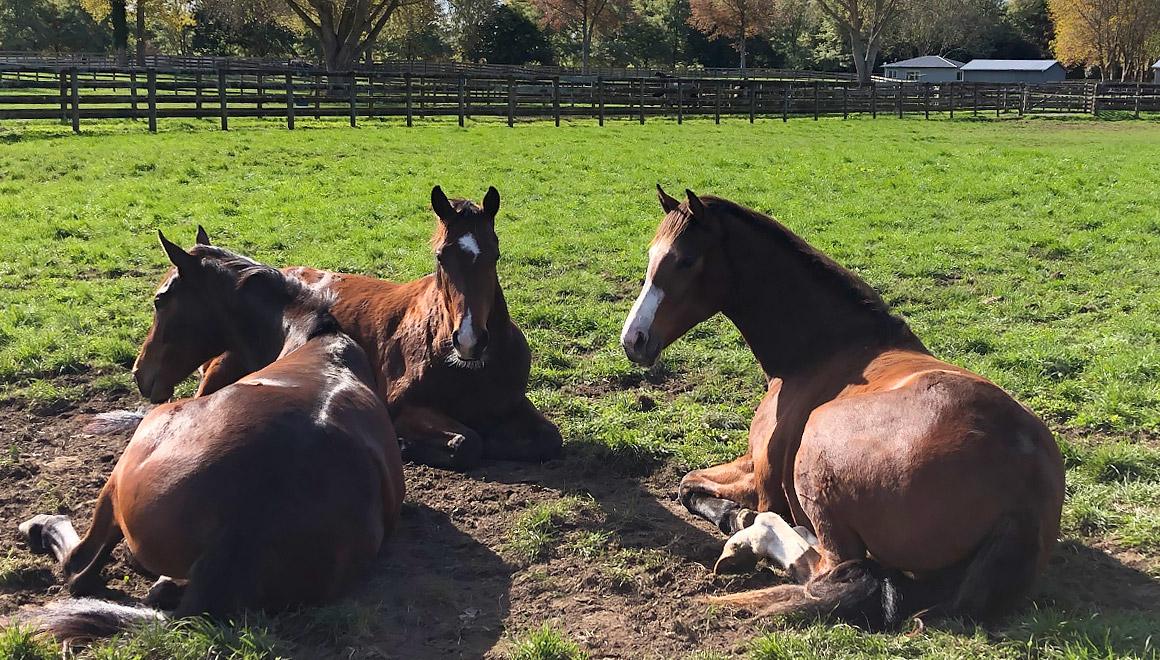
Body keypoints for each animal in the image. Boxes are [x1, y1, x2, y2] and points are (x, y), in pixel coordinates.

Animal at [14, 233, 408, 640]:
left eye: (160, 300)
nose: (139, 373)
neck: (309, 338)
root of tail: (244, 526)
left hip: (133, 455)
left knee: (81, 568)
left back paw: (40, 525)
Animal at [122, 187, 561, 470]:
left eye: (494, 254)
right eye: (441, 256)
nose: (469, 341)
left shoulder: (514, 403)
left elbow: (549, 440)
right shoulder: (403, 407)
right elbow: (469, 442)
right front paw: (407, 444)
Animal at [621, 186, 1062, 626]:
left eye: (686, 260)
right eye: (651, 254)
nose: (633, 339)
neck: (825, 348)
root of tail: (1025, 489)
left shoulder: (763, 480)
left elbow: (690, 486)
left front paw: (739, 520)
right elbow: (687, 483)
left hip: (815, 457)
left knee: (830, 566)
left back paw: (756, 538)